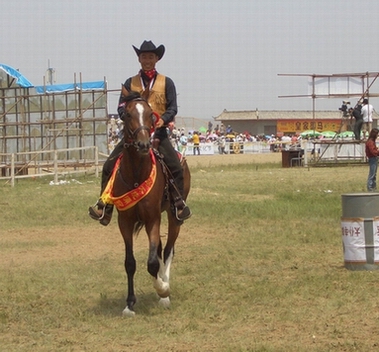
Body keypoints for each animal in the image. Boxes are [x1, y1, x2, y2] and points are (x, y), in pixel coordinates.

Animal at [111, 86, 191, 316]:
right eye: (127, 114)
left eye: (150, 114)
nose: (144, 144)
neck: (137, 175)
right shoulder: (125, 222)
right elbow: (130, 263)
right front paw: (129, 304)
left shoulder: (152, 219)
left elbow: (153, 262)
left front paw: (163, 290)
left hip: (174, 216)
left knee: (168, 250)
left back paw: (164, 289)